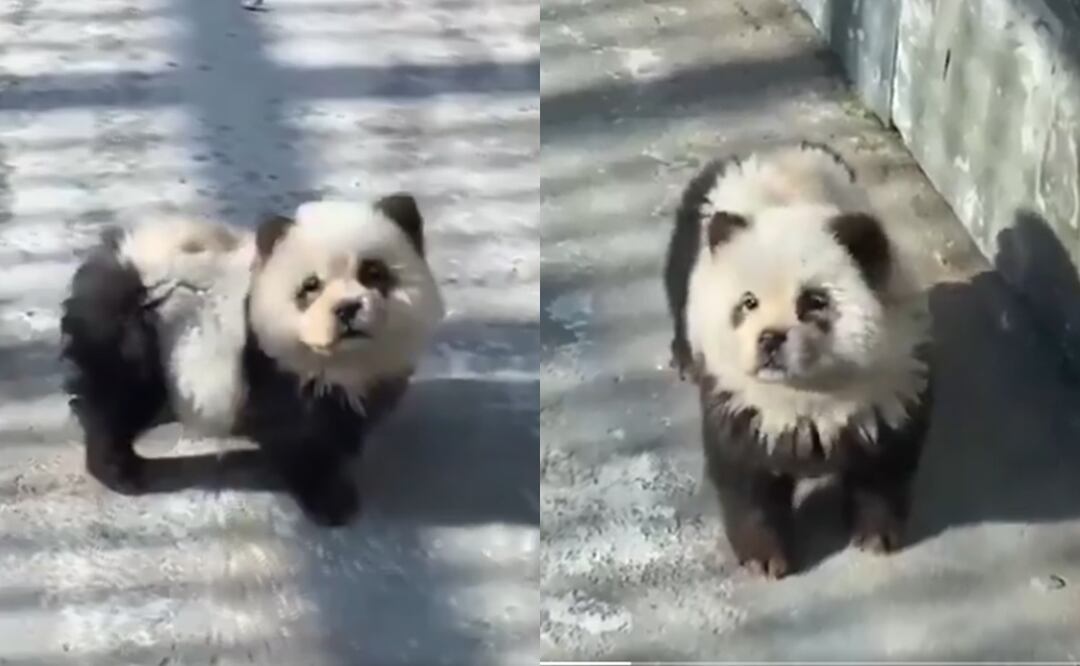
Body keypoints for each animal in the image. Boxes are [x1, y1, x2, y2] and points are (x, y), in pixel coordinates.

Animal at [60, 194, 444, 526]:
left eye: (373, 272)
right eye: (311, 286)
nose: (347, 309)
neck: (344, 359)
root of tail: (125, 260)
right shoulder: (275, 371)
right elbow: (299, 438)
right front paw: (329, 499)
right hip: (133, 339)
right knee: (115, 404)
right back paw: (119, 471)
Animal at [663, 142, 932, 578]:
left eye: (814, 301)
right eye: (748, 302)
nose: (770, 340)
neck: (808, 392)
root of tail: (772, 149)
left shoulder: (891, 383)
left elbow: (885, 465)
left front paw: (876, 536)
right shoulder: (739, 399)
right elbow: (745, 478)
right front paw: (764, 557)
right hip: (693, 240)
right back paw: (685, 359)